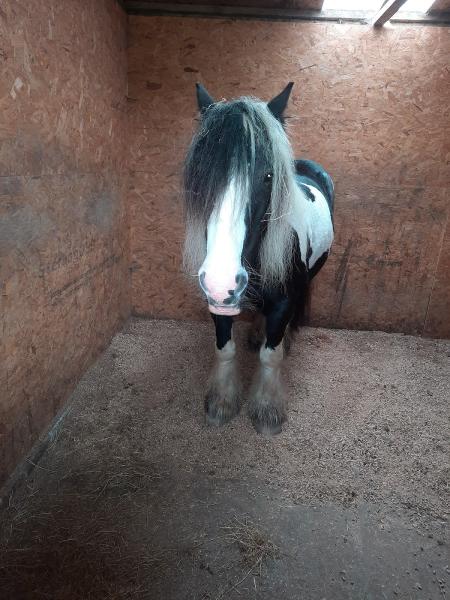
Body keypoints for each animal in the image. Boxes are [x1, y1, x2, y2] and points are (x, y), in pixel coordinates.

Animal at [183, 82, 334, 434]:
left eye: (267, 176)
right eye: (200, 177)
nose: (221, 280)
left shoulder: (284, 301)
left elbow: (270, 356)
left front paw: (267, 409)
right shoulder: (219, 302)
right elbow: (225, 349)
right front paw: (222, 402)